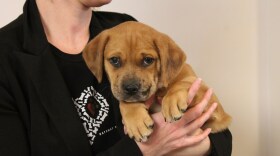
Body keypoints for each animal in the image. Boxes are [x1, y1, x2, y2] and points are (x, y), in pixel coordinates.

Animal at [82, 21, 232, 142]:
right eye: (114, 60)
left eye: (148, 60)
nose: (131, 88)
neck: (159, 88)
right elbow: (125, 102)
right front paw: (135, 121)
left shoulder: (216, 110)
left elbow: (185, 82)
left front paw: (172, 100)